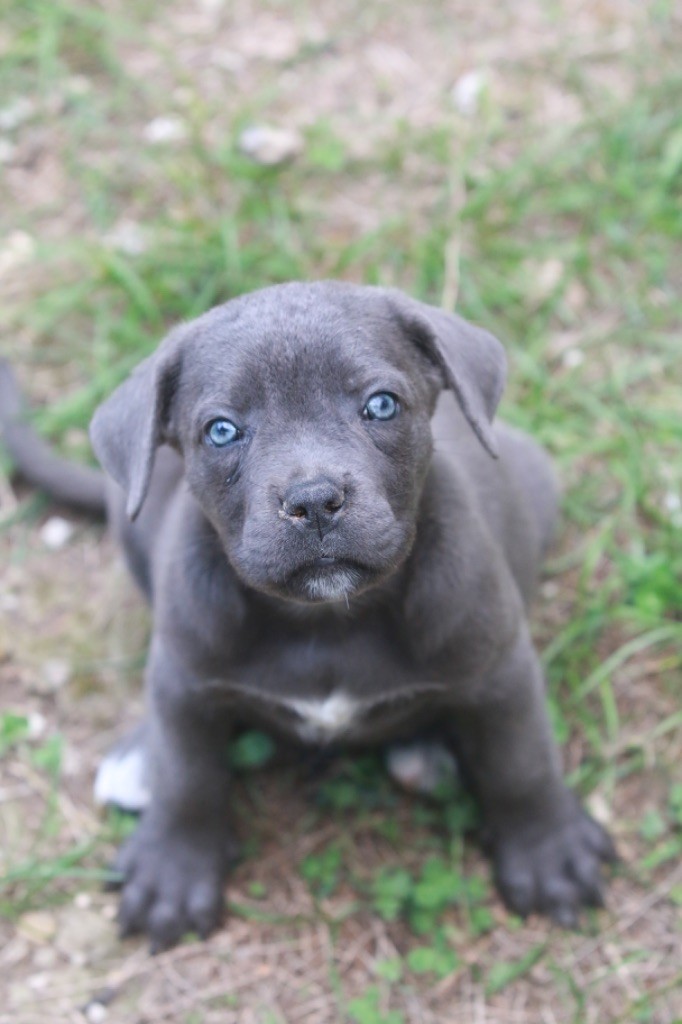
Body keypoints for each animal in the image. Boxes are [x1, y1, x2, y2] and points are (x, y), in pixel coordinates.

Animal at [0, 280, 614, 950]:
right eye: (221, 430)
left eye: (381, 404)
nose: (314, 500)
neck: (327, 620)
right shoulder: (183, 677)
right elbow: (187, 774)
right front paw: (172, 871)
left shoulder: (500, 667)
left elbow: (521, 761)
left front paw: (548, 854)